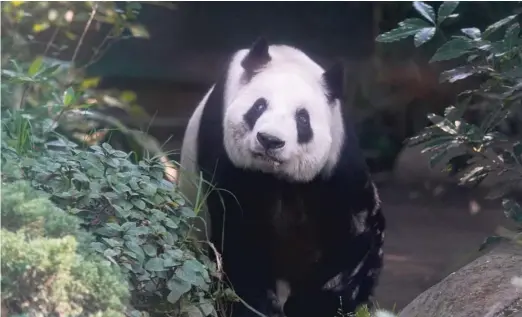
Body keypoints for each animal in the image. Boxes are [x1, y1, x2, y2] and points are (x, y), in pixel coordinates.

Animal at [177, 37, 384, 316]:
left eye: (302, 118)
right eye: (259, 106)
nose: (270, 140)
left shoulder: (337, 162)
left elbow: (356, 232)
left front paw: (317, 304)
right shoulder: (224, 155)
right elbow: (239, 234)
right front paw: (258, 306)